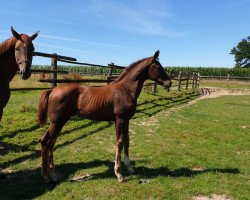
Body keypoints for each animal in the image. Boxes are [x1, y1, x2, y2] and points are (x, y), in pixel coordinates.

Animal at [38, 50, 171, 183]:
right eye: (158, 67)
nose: (169, 83)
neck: (126, 90)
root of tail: (53, 90)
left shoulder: (126, 120)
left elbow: (127, 140)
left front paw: (130, 168)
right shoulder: (119, 119)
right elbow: (120, 142)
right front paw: (119, 173)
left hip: (60, 122)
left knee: (52, 143)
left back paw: (54, 175)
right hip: (57, 122)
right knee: (46, 142)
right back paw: (46, 176)